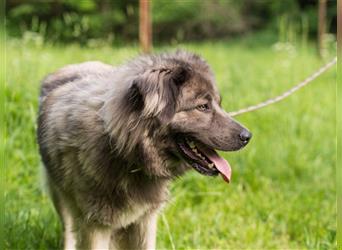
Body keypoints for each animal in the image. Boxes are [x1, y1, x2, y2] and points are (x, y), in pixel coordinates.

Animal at [37, 49, 251, 249]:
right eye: (203, 107)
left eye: (218, 104)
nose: (247, 136)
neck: (122, 149)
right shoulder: (95, 225)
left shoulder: (145, 220)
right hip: (61, 198)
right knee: (68, 232)